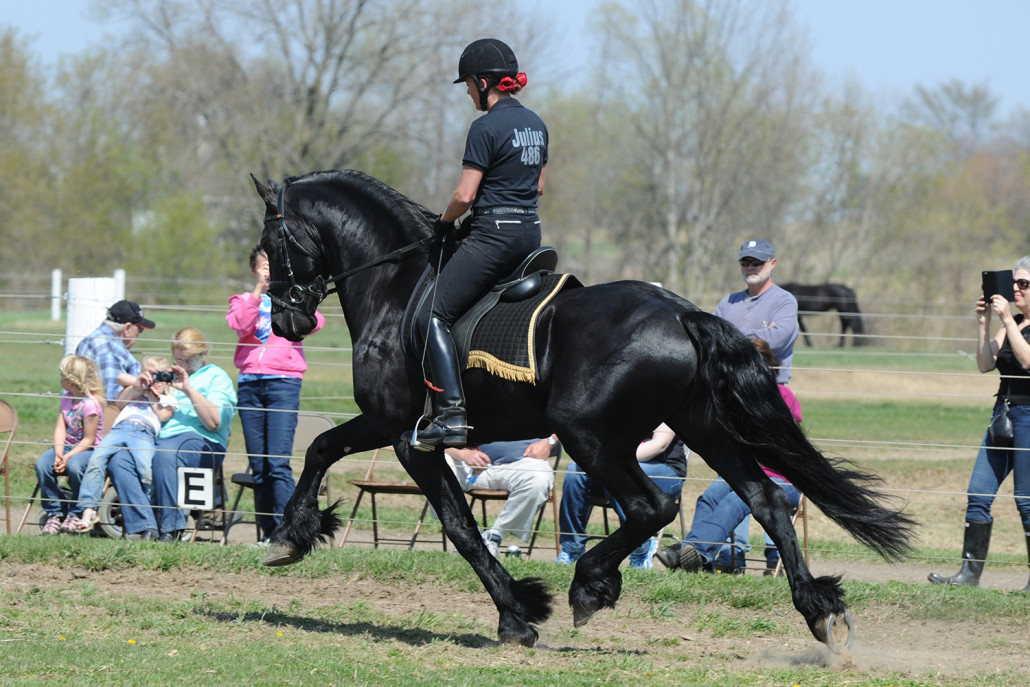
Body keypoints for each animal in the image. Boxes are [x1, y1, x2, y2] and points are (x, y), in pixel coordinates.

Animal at [253, 170, 914, 650]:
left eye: (269, 246)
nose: (286, 320)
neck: (398, 284)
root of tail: (683, 313)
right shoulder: (395, 431)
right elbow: (328, 450)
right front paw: (295, 534)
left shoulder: (403, 432)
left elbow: (457, 524)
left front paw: (517, 614)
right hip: (705, 428)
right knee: (768, 499)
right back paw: (817, 607)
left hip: (589, 436)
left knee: (653, 507)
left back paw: (590, 584)